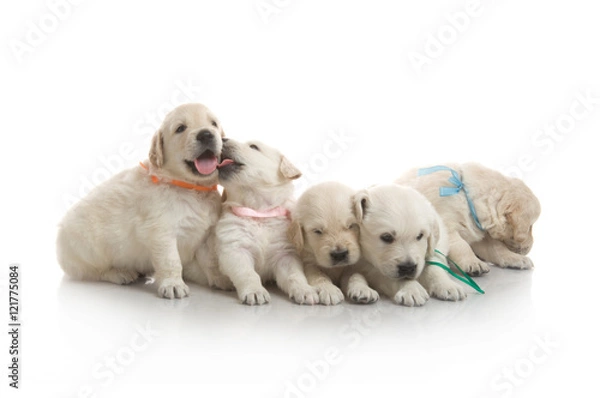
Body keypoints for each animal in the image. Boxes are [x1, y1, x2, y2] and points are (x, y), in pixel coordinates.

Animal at [56, 103, 233, 298]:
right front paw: (173, 284)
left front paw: (221, 280)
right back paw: (119, 273)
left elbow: (211, 261)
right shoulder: (161, 231)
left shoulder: (206, 235)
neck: (191, 188)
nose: (206, 134)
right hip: (86, 249)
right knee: (94, 271)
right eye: (180, 128)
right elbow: (171, 260)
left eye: (213, 124)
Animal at [396, 163, 540, 276]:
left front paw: (515, 258)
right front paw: (473, 263)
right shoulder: (446, 226)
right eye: (530, 226)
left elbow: (496, 248)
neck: (466, 196)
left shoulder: (480, 233)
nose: (530, 247)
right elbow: (462, 245)